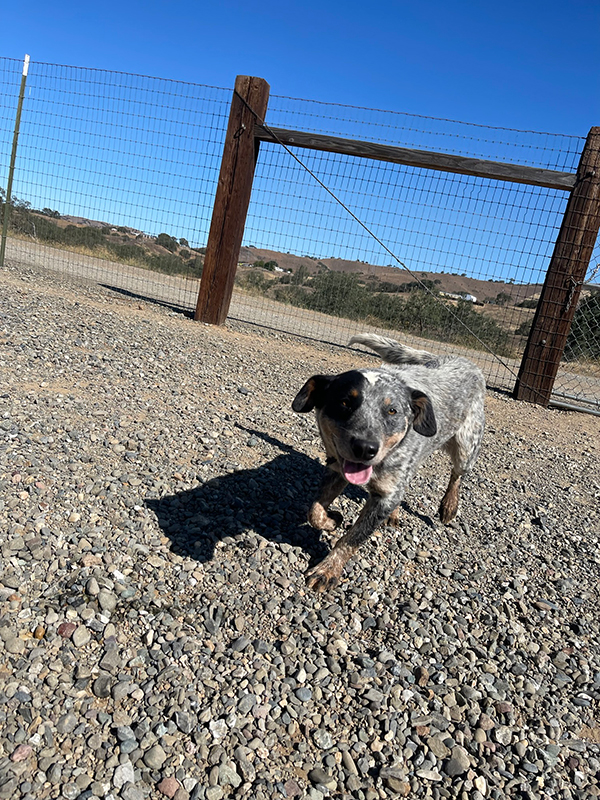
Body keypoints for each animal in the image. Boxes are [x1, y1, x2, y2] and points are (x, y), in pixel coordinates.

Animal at [292, 334, 486, 592]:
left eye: (392, 410)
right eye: (344, 402)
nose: (365, 447)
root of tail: (461, 359)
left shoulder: (385, 494)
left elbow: (353, 538)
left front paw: (328, 569)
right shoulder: (336, 468)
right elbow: (314, 510)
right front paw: (332, 521)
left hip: (467, 446)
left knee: (458, 474)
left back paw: (449, 506)